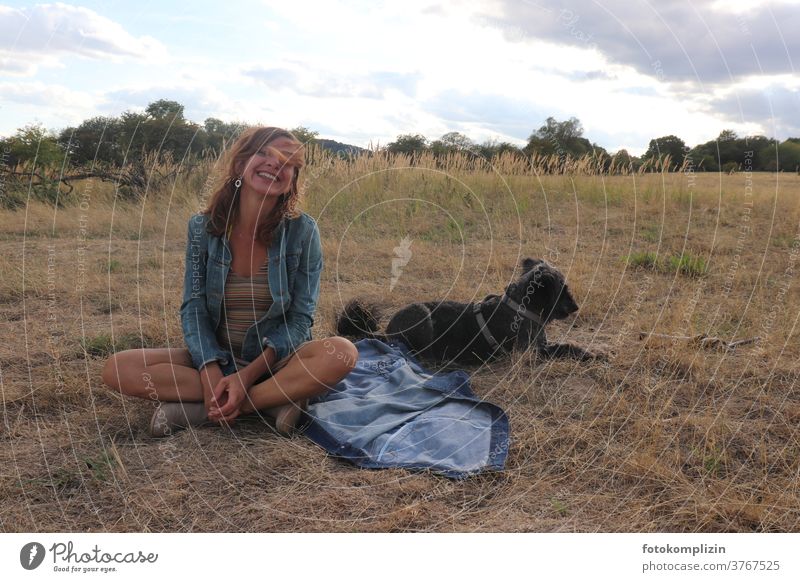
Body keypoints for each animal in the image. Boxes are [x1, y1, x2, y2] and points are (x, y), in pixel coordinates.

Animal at [336, 256, 600, 364]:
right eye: (563, 289)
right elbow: (566, 349)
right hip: (422, 315)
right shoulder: (529, 354)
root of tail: (387, 331)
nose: (576, 306)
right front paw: (593, 355)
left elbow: (566, 345)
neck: (523, 307)